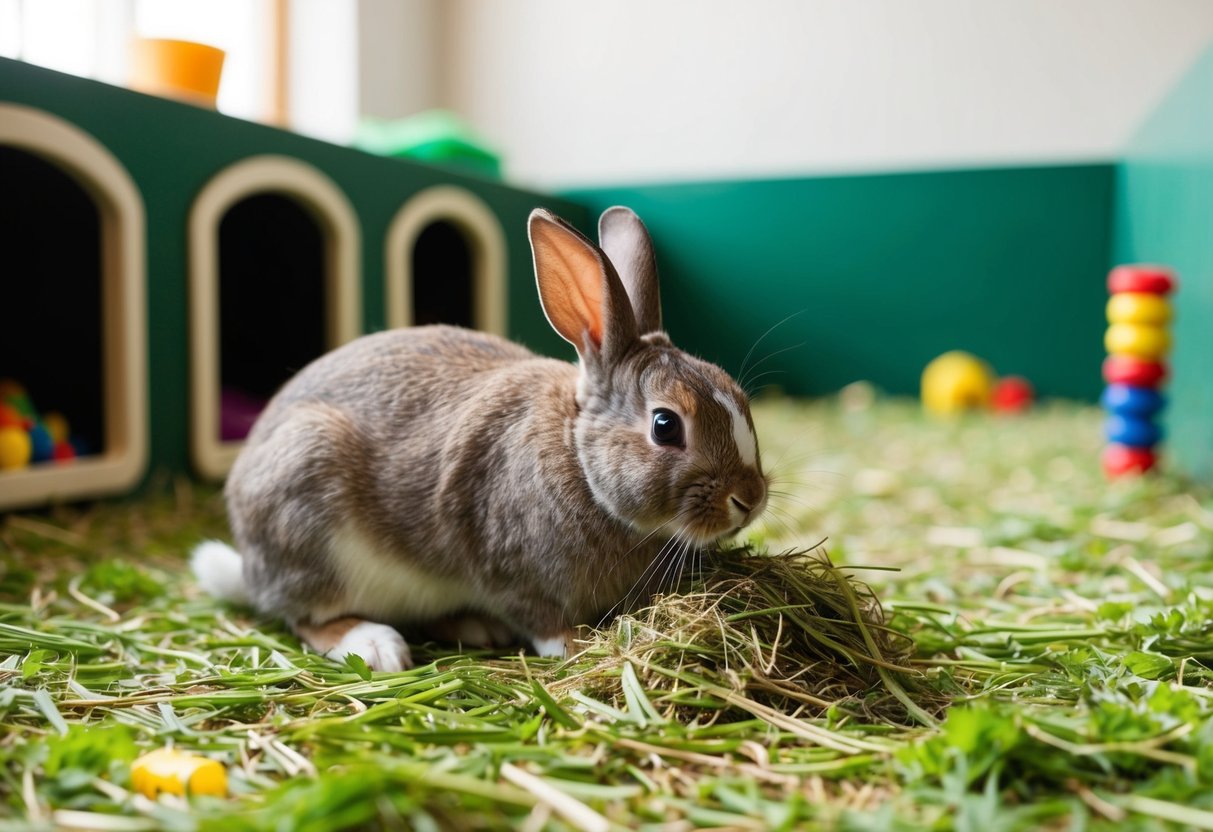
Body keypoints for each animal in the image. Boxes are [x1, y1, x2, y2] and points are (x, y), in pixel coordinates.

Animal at [192, 207, 769, 671]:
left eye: (736, 394)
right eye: (665, 425)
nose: (750, 499)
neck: (579, 460)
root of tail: (250, 566)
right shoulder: (509, 568)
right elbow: (540, 618)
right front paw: (578, 645)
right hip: (309, 504)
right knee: (306, 616)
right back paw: (377, 646)